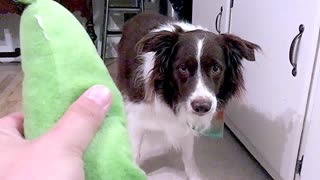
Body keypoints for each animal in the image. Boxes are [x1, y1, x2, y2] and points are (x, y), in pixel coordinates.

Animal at [117, 13, 260, 179]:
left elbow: (188, 155)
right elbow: (134, 153)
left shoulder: (188, 121)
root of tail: (138, 15)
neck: (170, 97)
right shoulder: (136, 119)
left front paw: (194, 175)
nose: (202, 107)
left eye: (216, 68)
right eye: (183, 68)